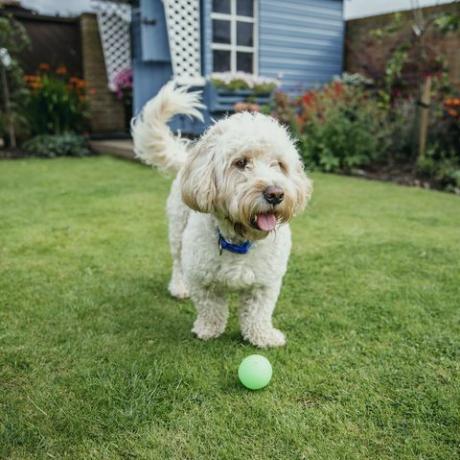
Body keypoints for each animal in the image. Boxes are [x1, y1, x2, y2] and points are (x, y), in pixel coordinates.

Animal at [133, 83, 312, 348]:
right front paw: (208, 330)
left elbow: (258, 313)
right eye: (240, 163)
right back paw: (178, 286)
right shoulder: (202, 279)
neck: (240, 240)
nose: (275, 194)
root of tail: (187, 160)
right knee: (177, 262)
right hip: (178, 232)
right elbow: (211, 309)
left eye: (279, 164)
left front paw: (262, 336)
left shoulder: (265, 283)